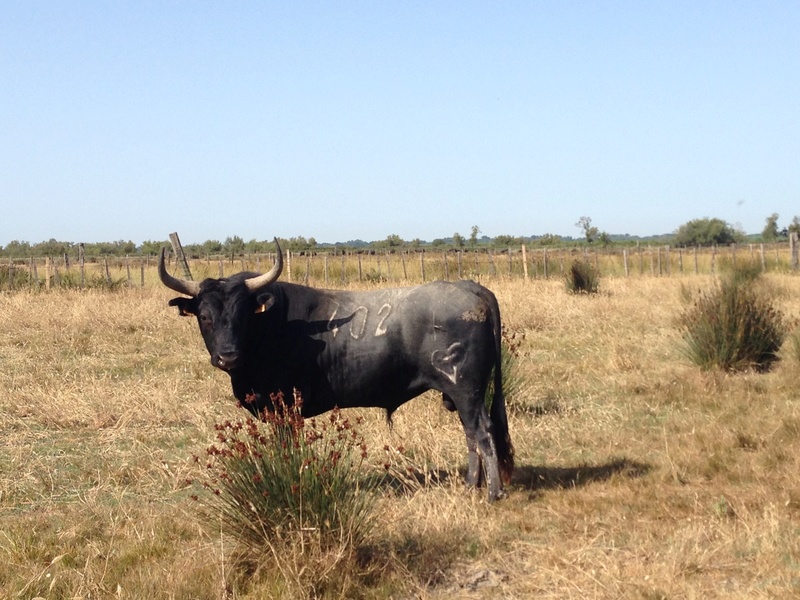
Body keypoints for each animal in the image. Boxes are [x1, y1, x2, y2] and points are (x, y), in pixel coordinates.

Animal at [159, 241, 516, 500]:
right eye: (205, 316)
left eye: (242, 314)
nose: (227, 356)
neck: (272, 326)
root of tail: (467, 287)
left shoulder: (285, 409)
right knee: (471, 435)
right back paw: (471, 485)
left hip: (466, 390)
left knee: (482, 432)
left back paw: (492, 493)